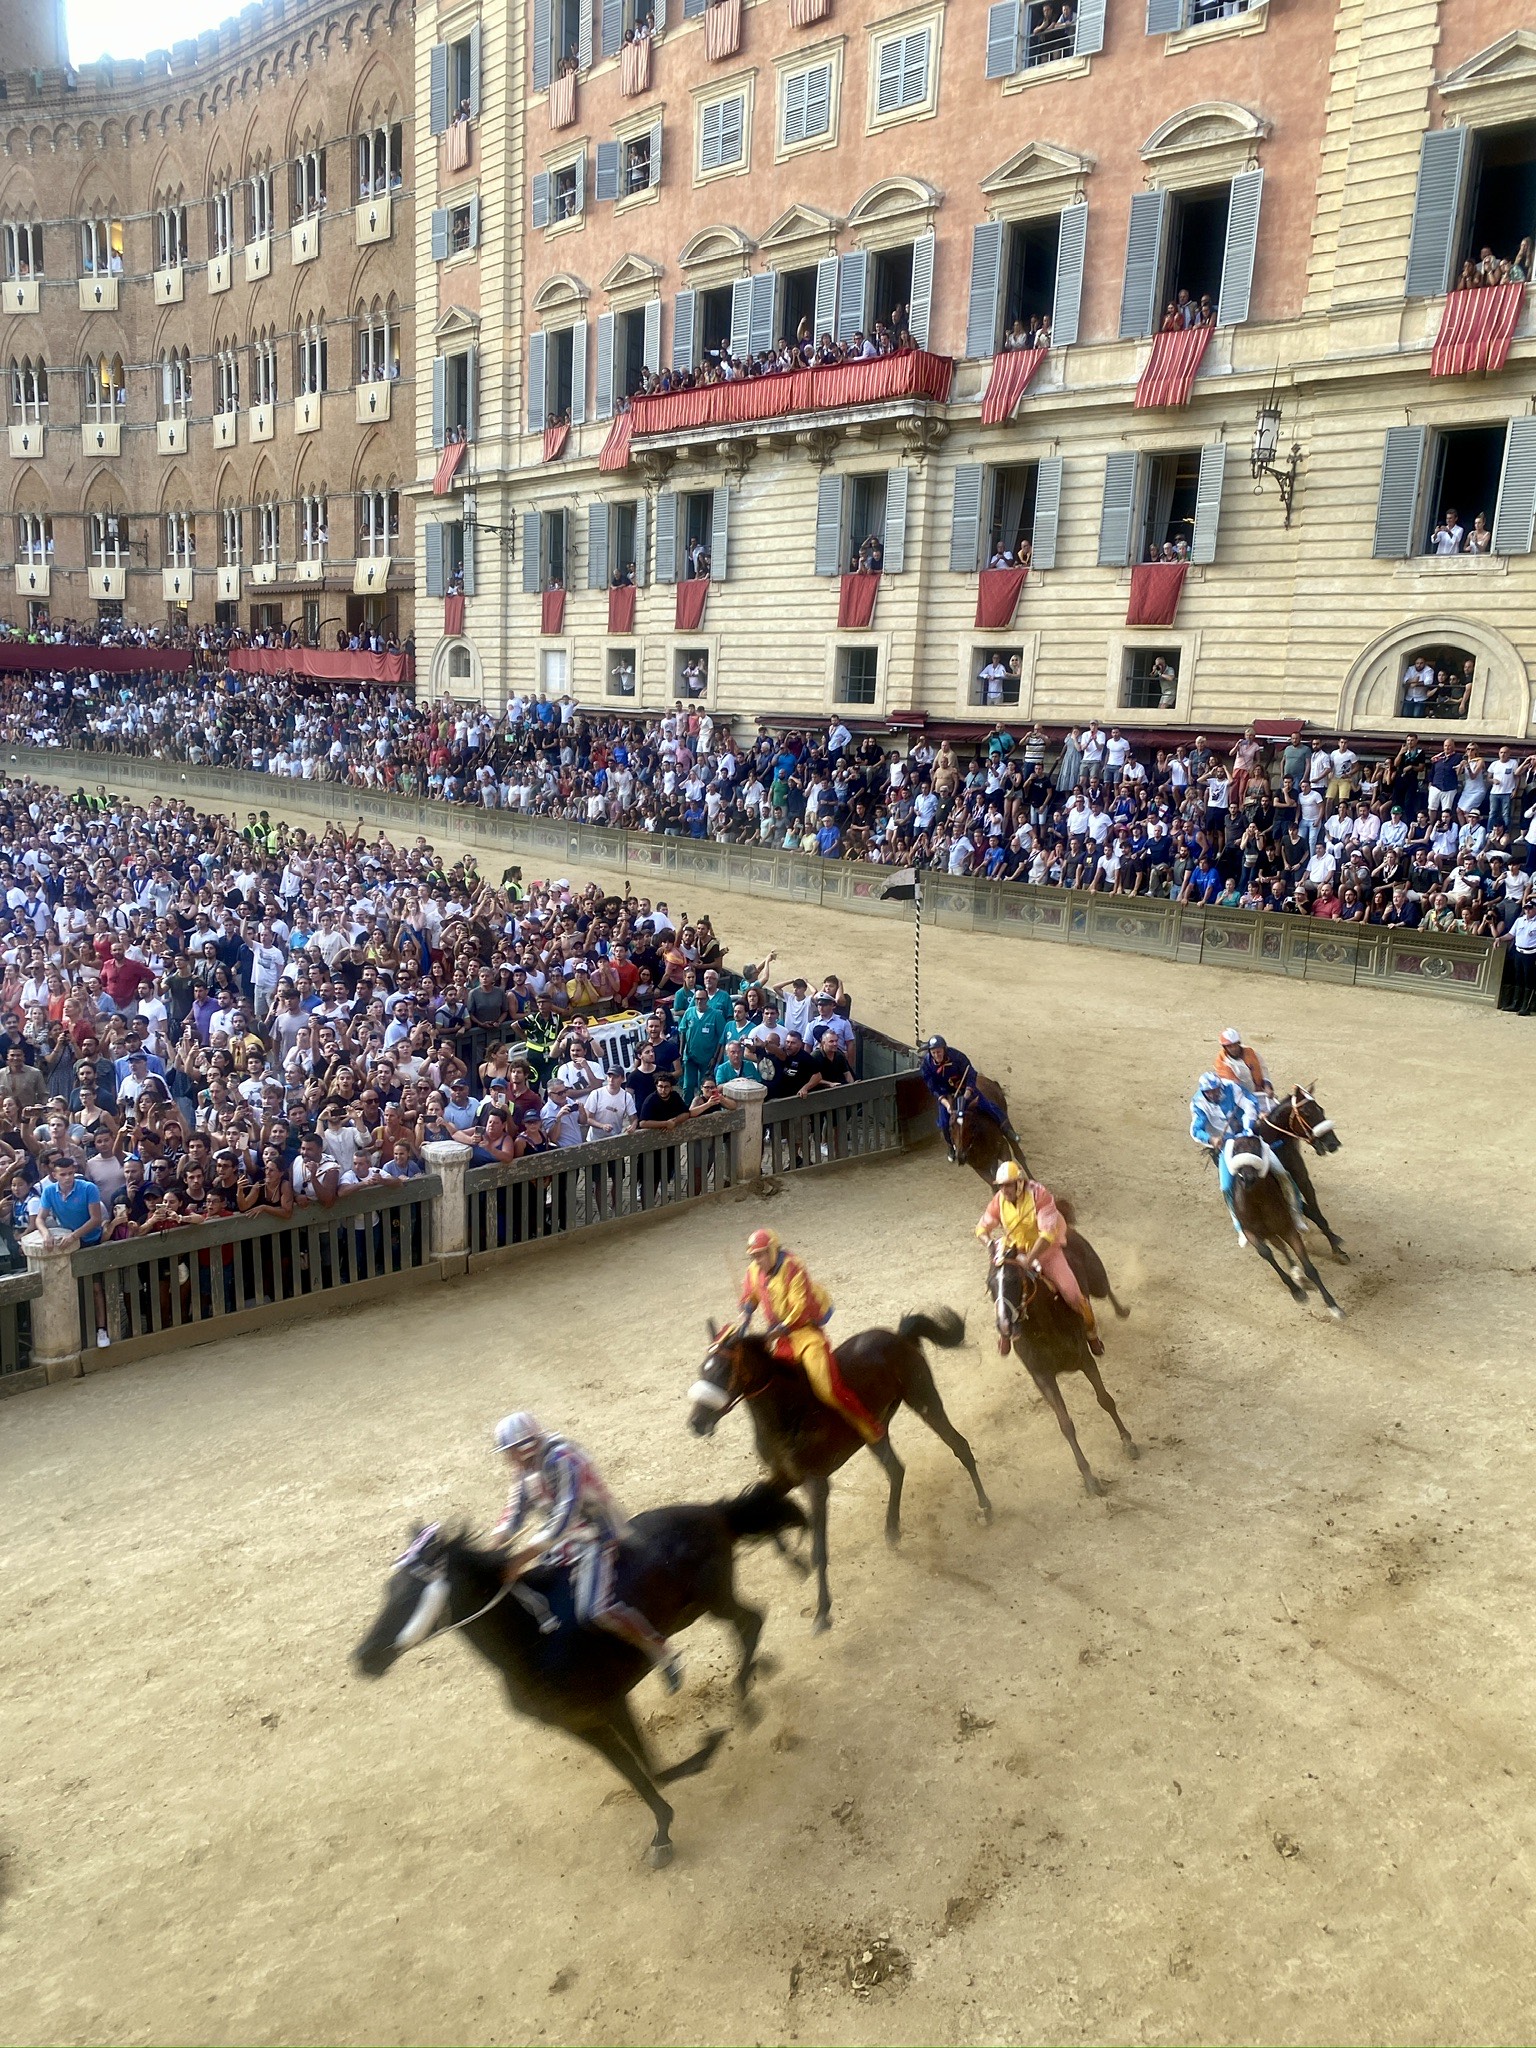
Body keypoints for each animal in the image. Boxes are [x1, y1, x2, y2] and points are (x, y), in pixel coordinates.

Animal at [352, 1490, 806, 1875]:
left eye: (410, 1595)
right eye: (388, 1589)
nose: (364, 1658)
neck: (531, 1642)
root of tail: (712, 1511)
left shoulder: (605, 1706)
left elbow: (645, 1768)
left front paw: (704, 1754)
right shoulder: (582, 1722)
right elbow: (645, 1770)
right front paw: (663, 1830)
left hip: (714, 1599)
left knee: (751, 1622)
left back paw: (746, 1697)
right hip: (701, 1607)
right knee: (750, 1622)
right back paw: (757, 1675)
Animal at [688, 1310, 999, 1630]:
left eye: (722, 1370)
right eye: (703, 1368)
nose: (696, 1423)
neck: (789, 1412)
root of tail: (899, 1336)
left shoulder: (816, 1484)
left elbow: (819, 1549)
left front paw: (822, 1611)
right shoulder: (784, 1476)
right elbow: (757, 1503)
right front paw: (796, 1563)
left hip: (924, 1399)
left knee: (960, 1447)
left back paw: (985, 1508)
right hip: (876, 1429)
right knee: (896, 1469)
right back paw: (892, 1529)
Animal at [991, 1236, 1138, 1499]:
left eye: (1014, 1281)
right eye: (990, 1286)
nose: (1004, 1325)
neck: (1044, 1326)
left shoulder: (1084, 1360)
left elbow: (1105, 1399)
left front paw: (1128, 1442)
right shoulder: (1043, 1377)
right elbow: (1066, 1424)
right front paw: (1090, 1479)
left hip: (1096, 1279)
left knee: (1104, 1290)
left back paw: (1121, 1311)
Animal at [1228, 1130, 1343, 1318]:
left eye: (1257, 1148)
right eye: (1235, 1150)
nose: (1248, 1178)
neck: (1257, 1202)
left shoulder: (1288, 1229)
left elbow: (1309, 1267)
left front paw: (1333, 1306)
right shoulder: (1250, 1231)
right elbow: (1266, 1253)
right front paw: (1295, 1290)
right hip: (1268, 1231)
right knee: (1279, 1246)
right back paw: (1296, 1274)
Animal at [1253, 1081, 1351, 1253]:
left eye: (1321, 1109)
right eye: (1306, 1113)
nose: (1333, 1143)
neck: (1277, 1148)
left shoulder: (1302, 1179)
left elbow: (1316, 1213)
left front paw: (1337, 1247)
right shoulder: (1282, 1189)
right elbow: (1310, 1212)